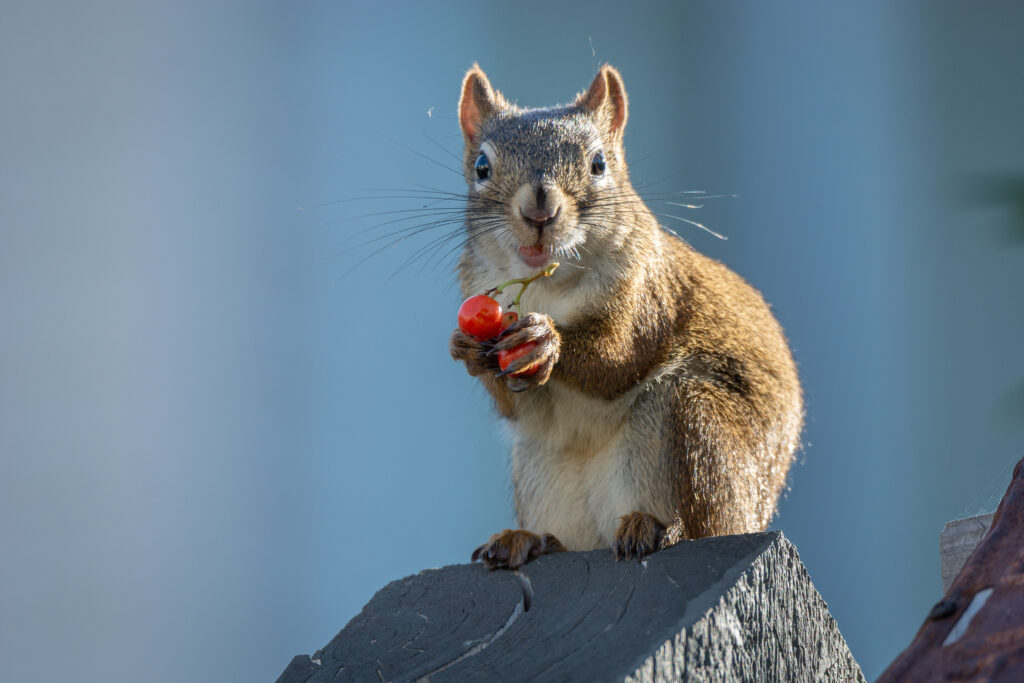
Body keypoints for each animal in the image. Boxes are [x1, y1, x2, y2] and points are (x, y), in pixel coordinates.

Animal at [452, 63, 802, 569]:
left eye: (599, 164)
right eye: (481, 167)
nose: (539, 209)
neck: (548, 287)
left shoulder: (647, 295)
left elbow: (616, 359)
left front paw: (547, 343)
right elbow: (514, 405)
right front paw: (464, 348)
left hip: (699, 426)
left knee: (706, 523)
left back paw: (660, 528)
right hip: (540, 471)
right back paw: (531, 540)